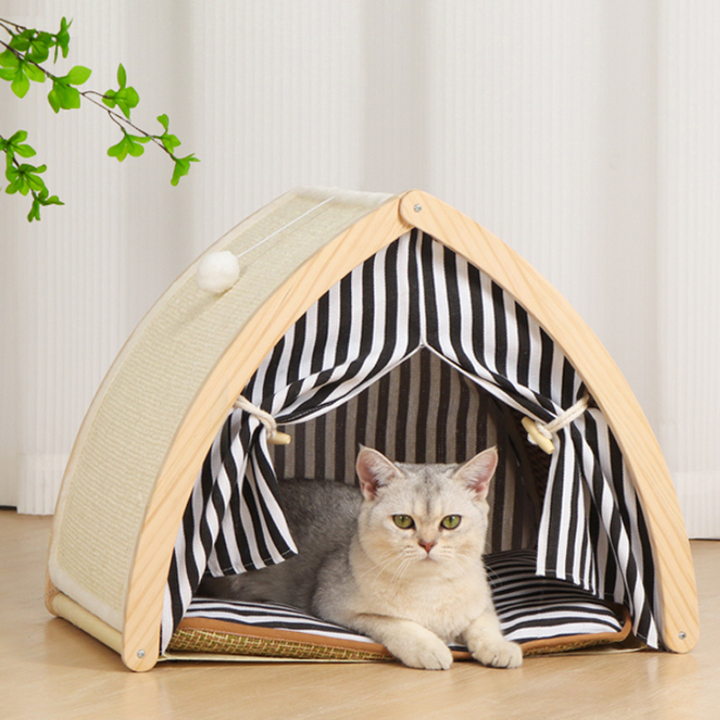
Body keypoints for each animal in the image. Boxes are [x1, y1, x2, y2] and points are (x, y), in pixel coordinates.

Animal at [200, 444, 520, 668]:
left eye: (451, 521)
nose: (427, 543)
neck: (429, 588)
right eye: (403, 521)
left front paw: (499, 647)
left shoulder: (481, 602)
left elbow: (484, 622)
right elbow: (396, 622)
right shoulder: (335, 606)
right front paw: (428, 647)